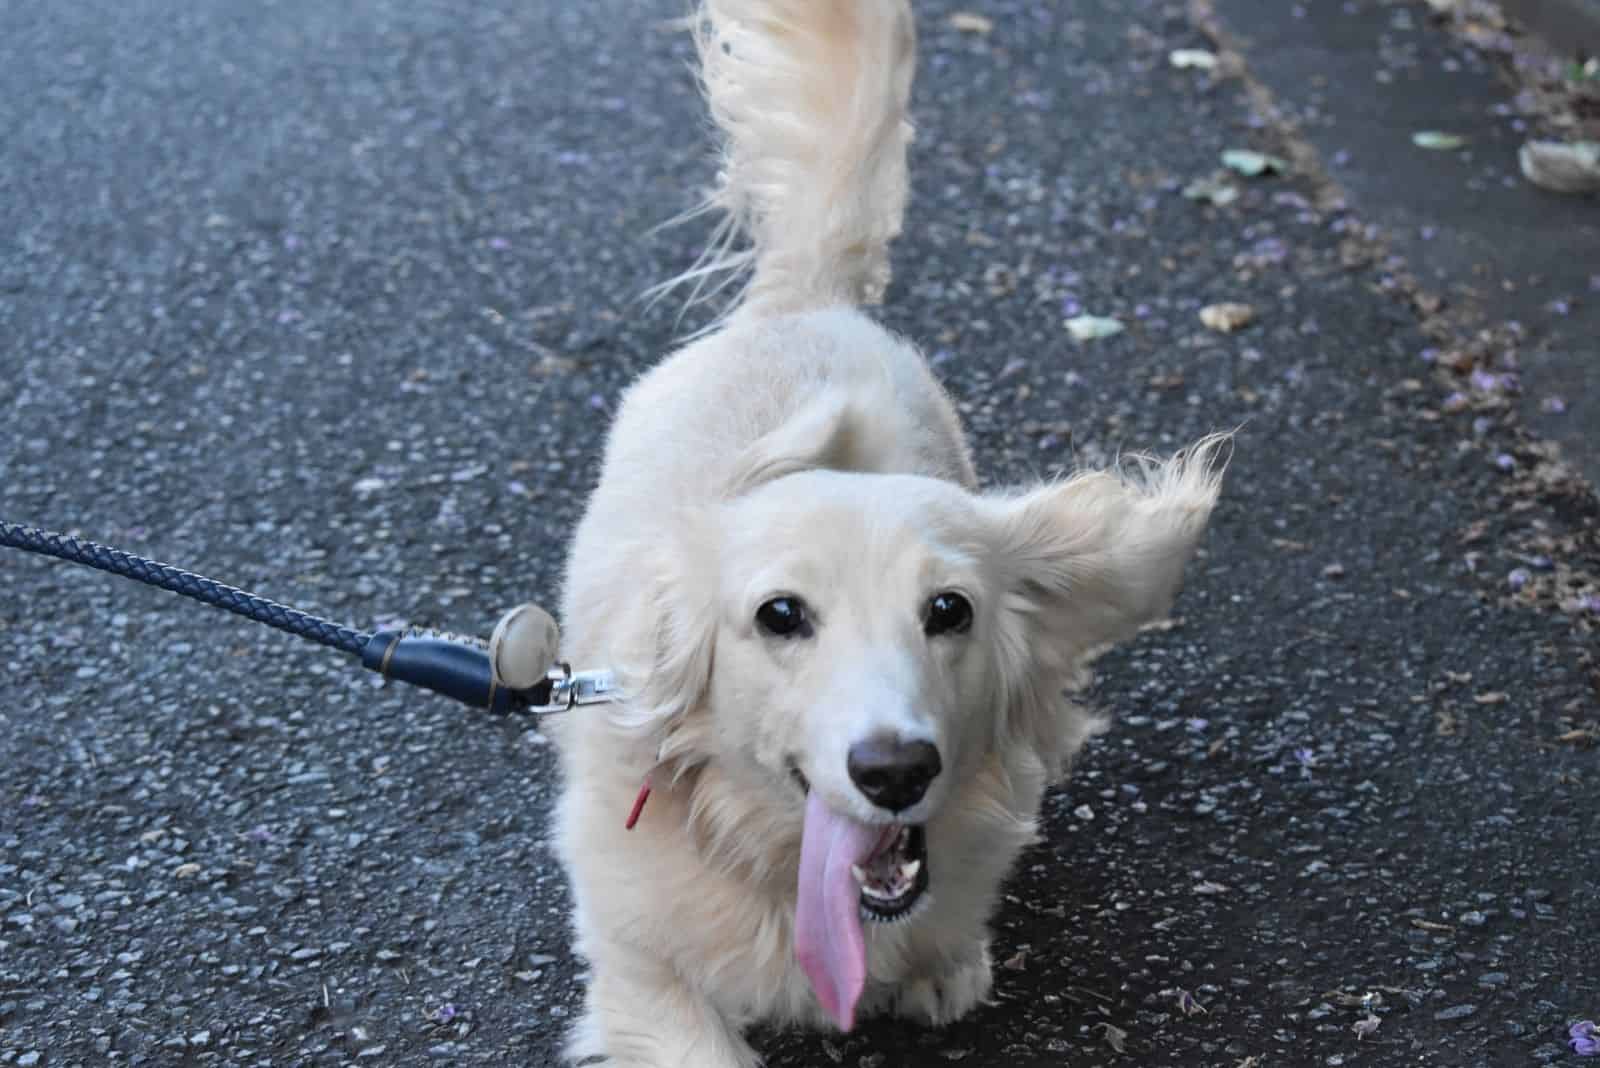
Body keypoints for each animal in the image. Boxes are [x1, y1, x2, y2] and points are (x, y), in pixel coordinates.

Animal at [550, 4, 1222, 1061]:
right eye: (779, 615)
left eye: (950, 610)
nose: (897, 770)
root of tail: (806, 300)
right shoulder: (640, 972)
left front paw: (945, 965)